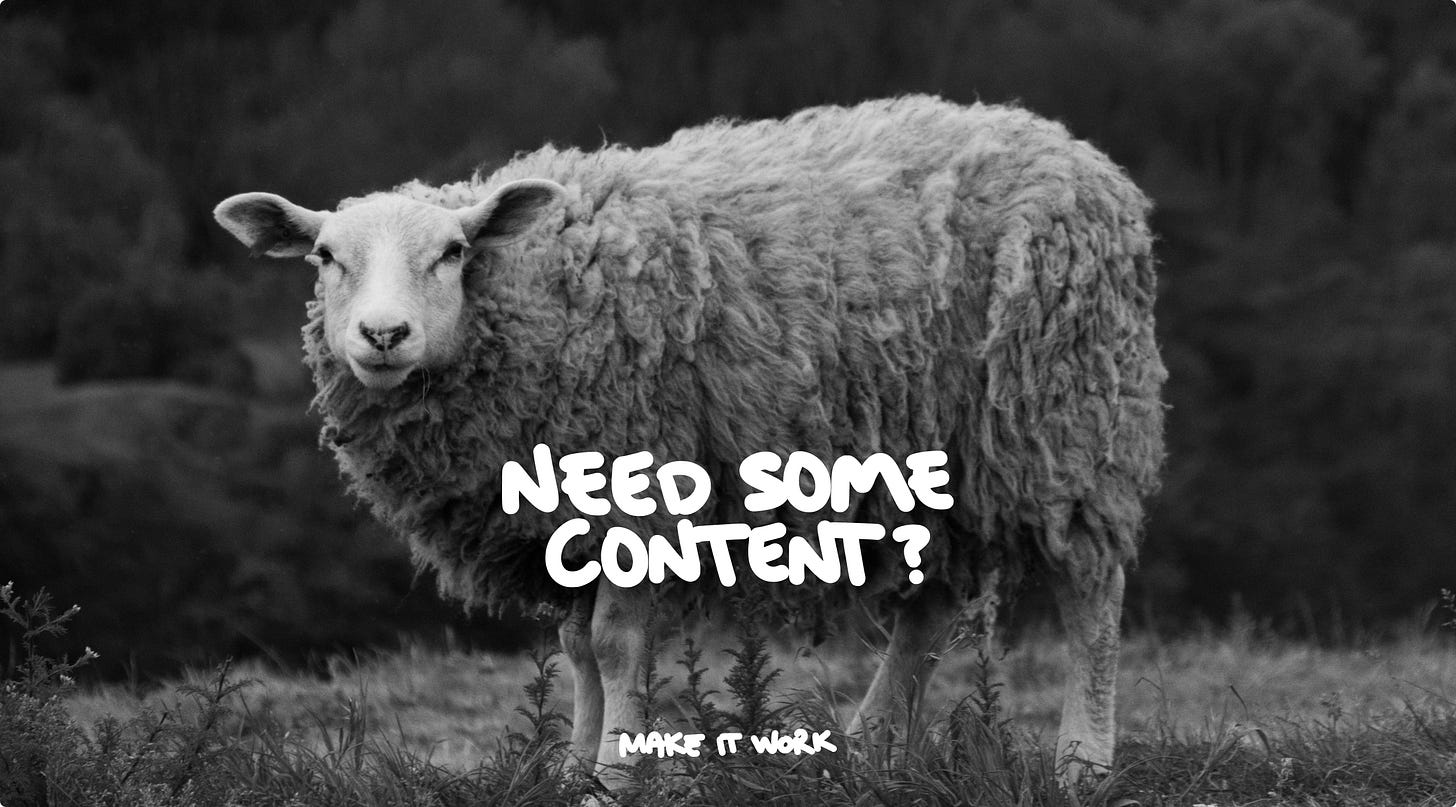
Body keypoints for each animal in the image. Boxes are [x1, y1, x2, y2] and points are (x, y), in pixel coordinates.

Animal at [213, 95, 1165, 782]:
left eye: (452, 251)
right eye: (325, 256)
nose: (383, 335)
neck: (541, 290)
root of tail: (1074, 150)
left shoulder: (639, 482)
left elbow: (613, 644)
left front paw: (611, 776)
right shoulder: (564, 519)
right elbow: (575, 649)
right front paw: (574, 769)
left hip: (1071, 415)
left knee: (1093, 594)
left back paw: (1082, 760)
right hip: (933, 453)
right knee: (926, 608)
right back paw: (868, 749)